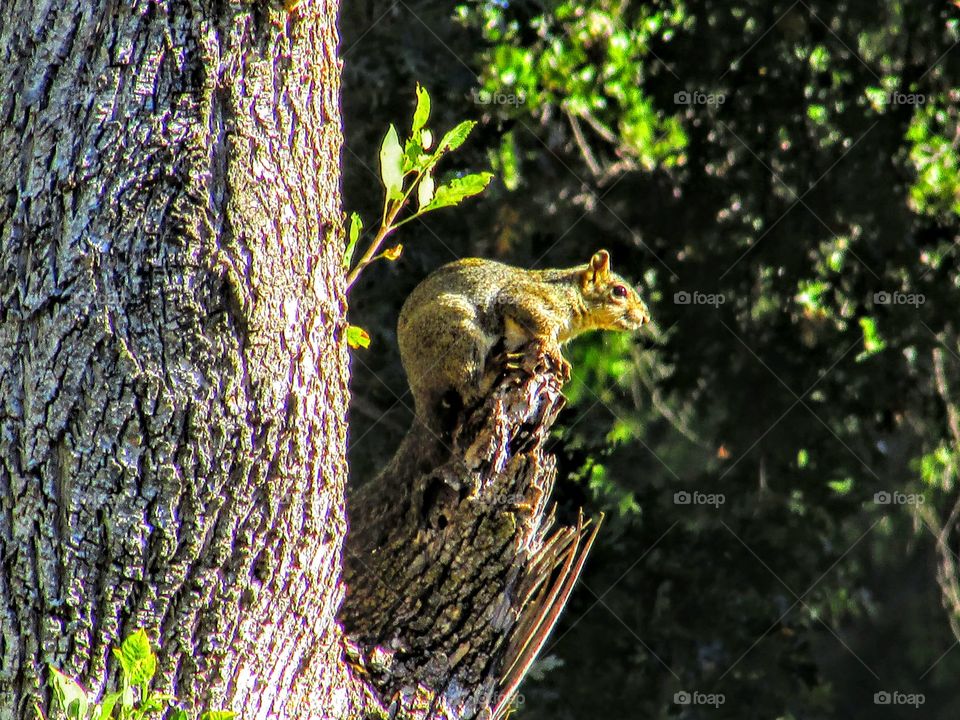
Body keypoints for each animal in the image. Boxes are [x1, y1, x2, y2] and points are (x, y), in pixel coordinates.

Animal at [397, 249, 650, 431]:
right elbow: (537, 322)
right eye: (619, 291)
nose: (646, 317)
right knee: (470, 391)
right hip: (458, 334)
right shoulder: (524, 298)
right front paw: (555, 354)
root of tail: (417, 384)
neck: (571, 293)